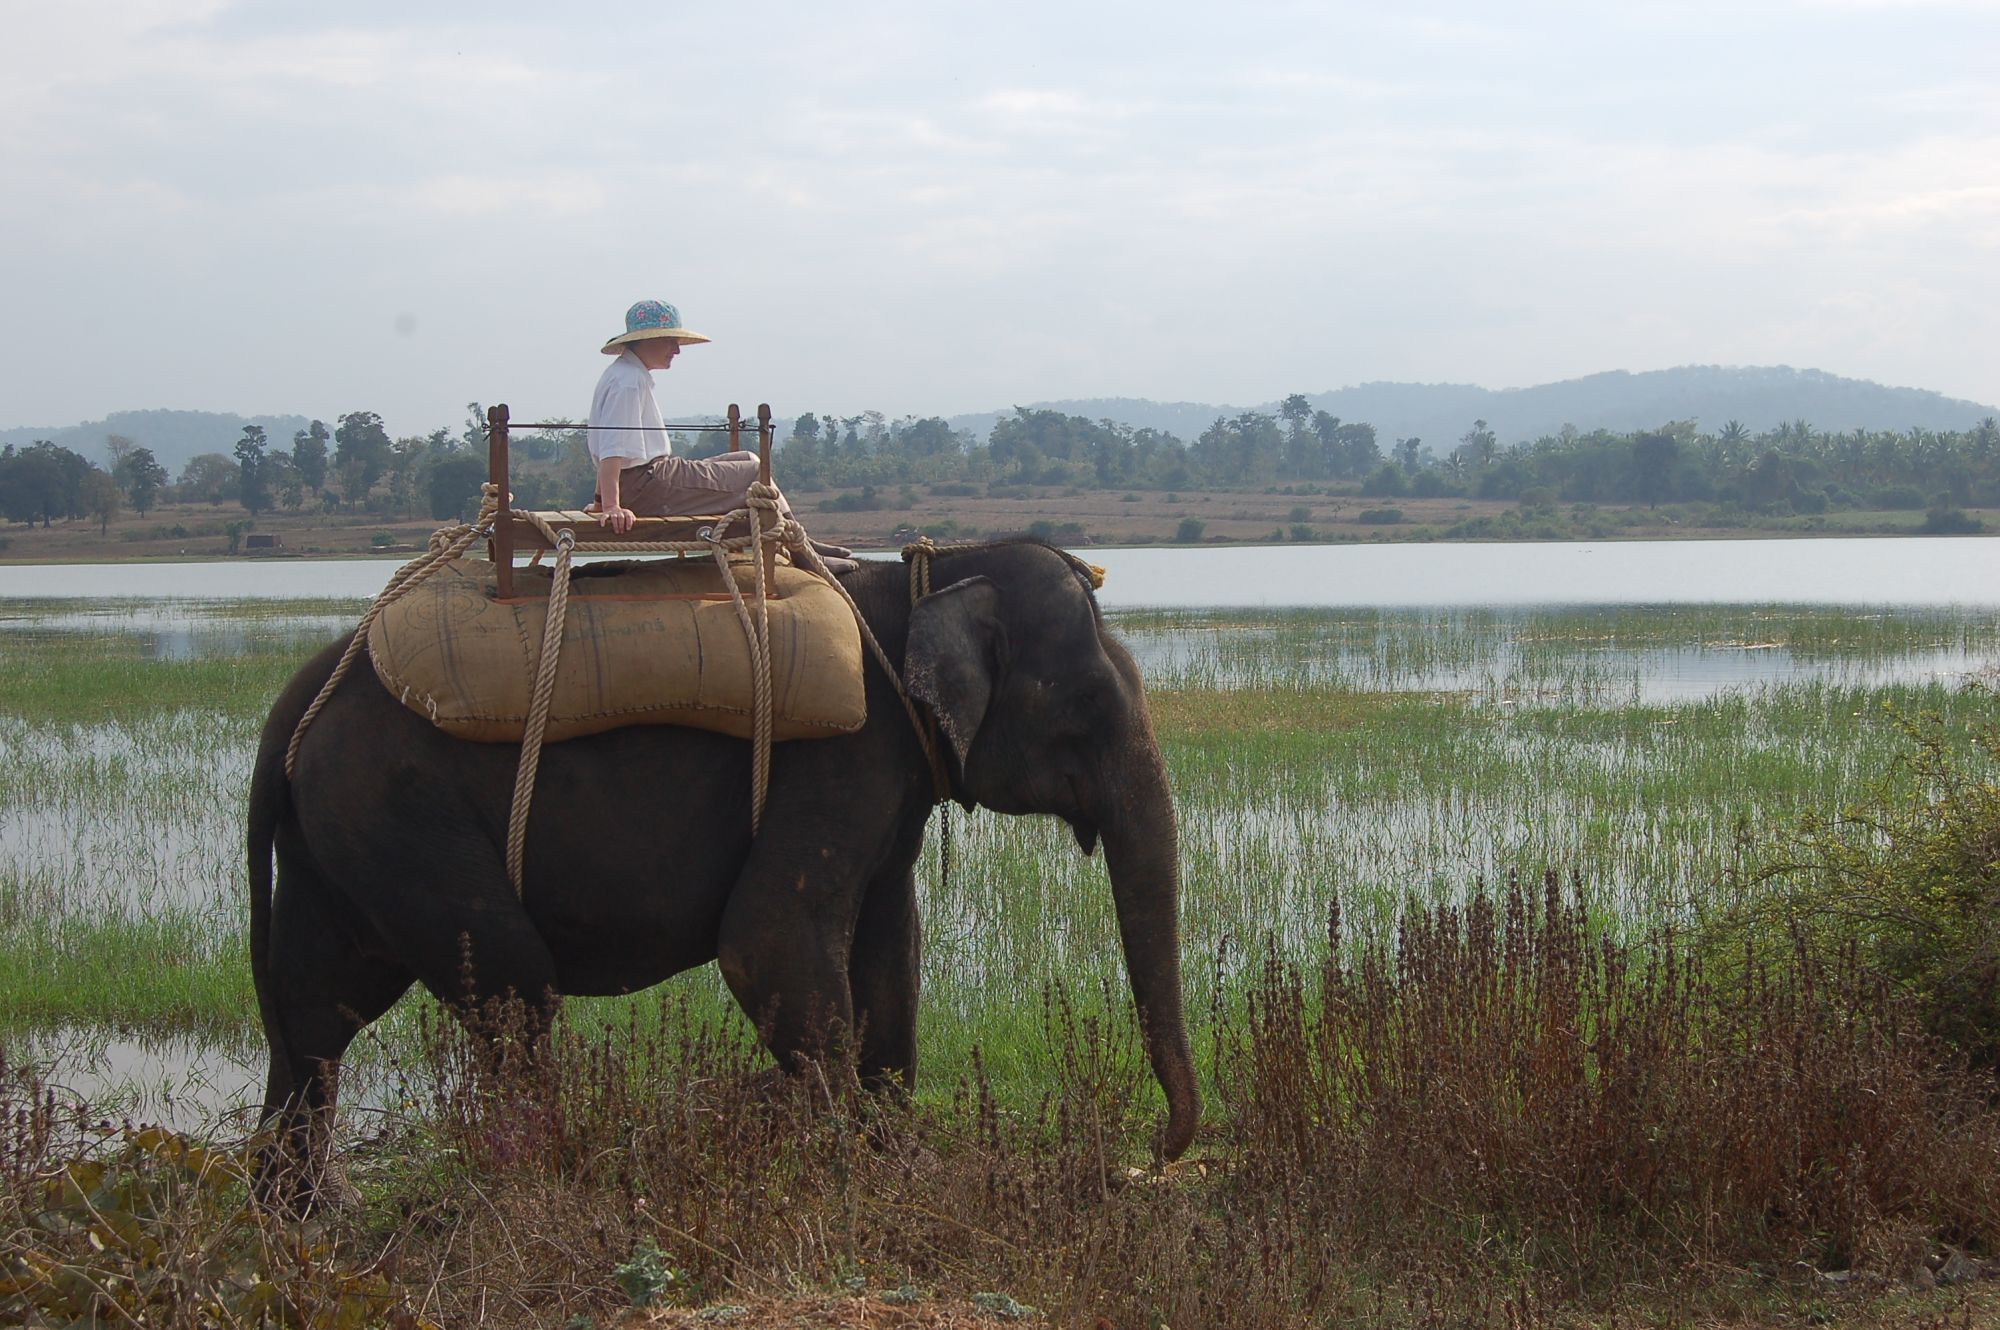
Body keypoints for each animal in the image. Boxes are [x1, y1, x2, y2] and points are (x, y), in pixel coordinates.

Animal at [247, 539, 1198, 1202]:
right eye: (1088, 706)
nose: (1153, 1153)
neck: (925, 577)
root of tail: (293, 703)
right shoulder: (845, 754)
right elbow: (769, 941)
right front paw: (853, 1175)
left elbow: (891, 951)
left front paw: (901, 1161)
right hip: (398, 813)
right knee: (514, 993)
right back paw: (546, 1184)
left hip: (344, 837)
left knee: (316, 1009)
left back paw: (303, 1213)